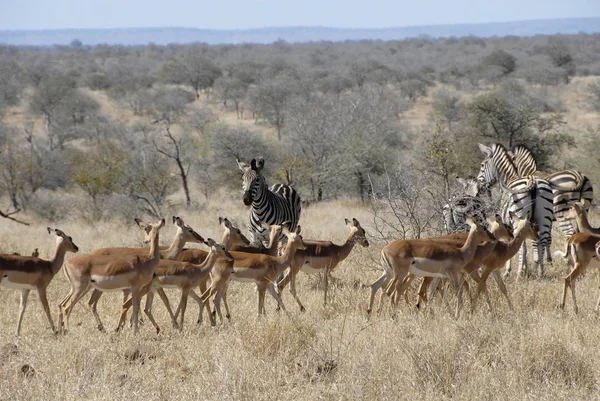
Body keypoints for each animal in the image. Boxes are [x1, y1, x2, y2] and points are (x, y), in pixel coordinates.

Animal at [476, 144, 556, 278]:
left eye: (482, 165)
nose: (478, 187)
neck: (510, 178)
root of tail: (532, 181)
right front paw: (527, 269)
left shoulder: (508, 223)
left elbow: (513, 242)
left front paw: (511, 270)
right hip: (545, 217)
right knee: (543, 240)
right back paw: (540, 272)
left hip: (519, 216)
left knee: (523, 244)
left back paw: (519, 274)